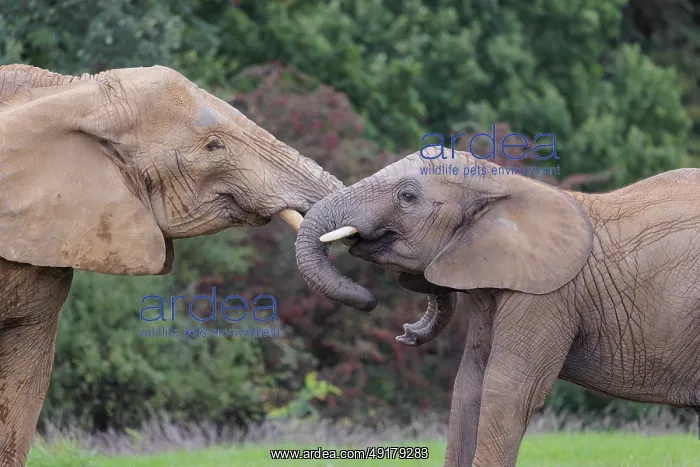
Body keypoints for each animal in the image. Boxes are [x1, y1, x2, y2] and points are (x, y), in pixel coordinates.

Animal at [295, 148, 700, 467]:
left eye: (407, 196)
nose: (405, 333)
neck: (499, 184)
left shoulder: (546, 295)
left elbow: (507, 390)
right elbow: (469, 384)